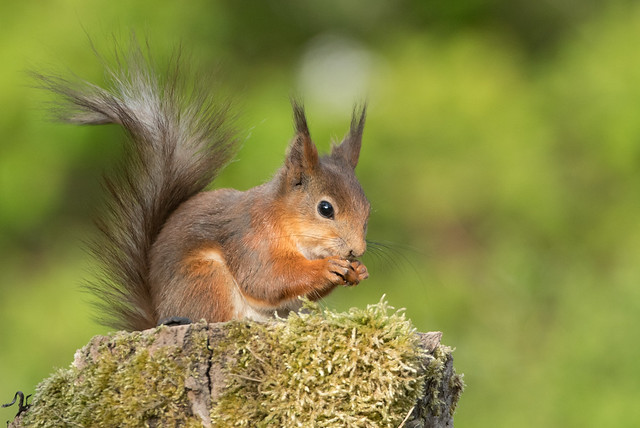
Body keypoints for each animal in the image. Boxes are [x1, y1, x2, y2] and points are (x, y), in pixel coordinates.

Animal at [41, 44, 370, 332]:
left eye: (367, 211)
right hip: (206, 278)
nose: (358, 250)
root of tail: (158, 316)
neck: (284, 220)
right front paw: (327, 268)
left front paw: (358, 270)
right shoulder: (249, 240)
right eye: (325, 209)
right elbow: (267, 278)